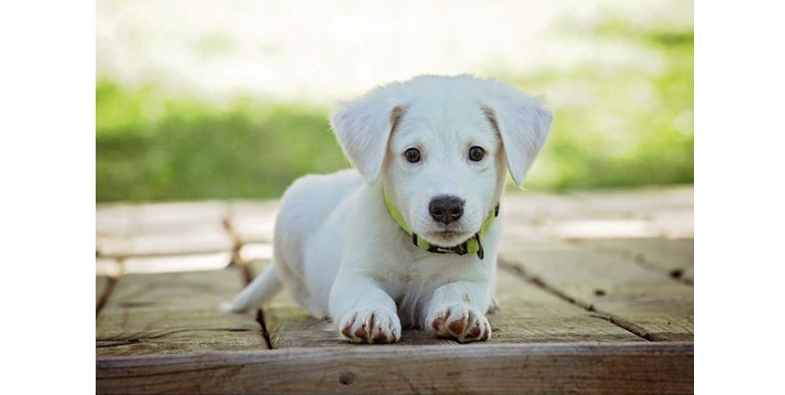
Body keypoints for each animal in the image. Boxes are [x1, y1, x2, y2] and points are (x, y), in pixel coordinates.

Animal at [230, 75, 552, 344]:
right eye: (412, 154)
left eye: (476, 152)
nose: (446, 207)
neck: (419, 249)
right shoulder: (356, 275)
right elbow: (368, 293)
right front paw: (371, 314)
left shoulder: (470, 279)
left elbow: (459, 291)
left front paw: (460, 312)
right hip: (292, 214)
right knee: (300, 290)